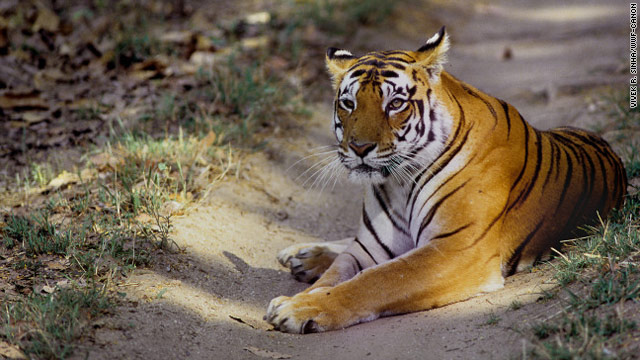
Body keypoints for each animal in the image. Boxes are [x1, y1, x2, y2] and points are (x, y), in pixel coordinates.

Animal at [262, 26, 628, 334]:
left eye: (395, 103)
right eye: (348, 103)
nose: (360, 147)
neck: (399, 183)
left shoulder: (455, 249)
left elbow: (377, 279)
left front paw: (299, 309)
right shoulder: (367, 249)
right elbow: (336, 274)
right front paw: (300, 297)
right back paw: (302, 256)